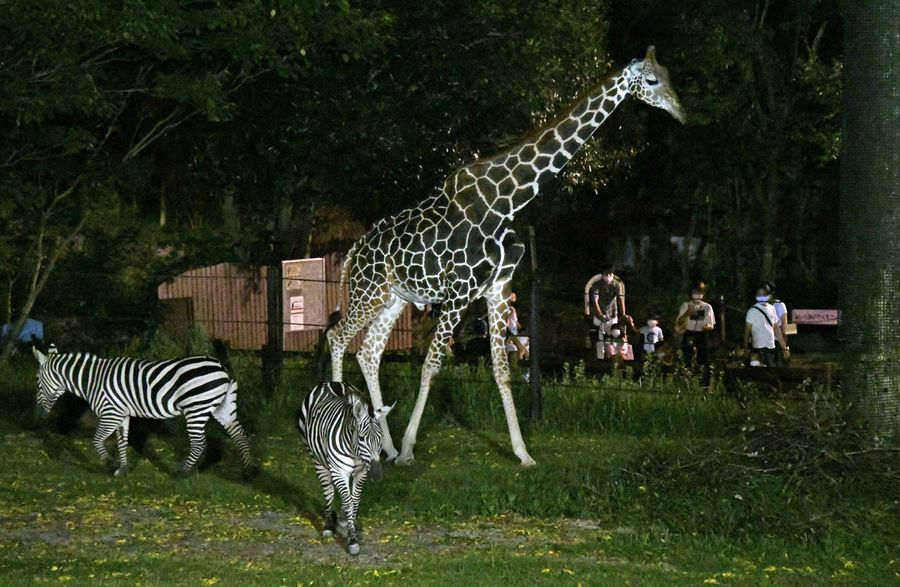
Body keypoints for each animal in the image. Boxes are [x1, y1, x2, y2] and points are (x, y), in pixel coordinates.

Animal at [33, 350, 255, 478]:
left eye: (37, 379)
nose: (38, 412)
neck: (93, 381)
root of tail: (222, 367)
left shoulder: (111, 413)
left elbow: (97, 440)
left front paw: (109, 464)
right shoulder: (122, 414)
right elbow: (122, 442)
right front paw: (122, 469)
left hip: (196, 407)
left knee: (199, 443)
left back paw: (181, 473)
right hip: (223, 408)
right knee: (240, 436)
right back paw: (247, 472)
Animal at [298, 384, 394, 552]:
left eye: (381, 438)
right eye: (361, 438)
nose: (376, 474)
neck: (355, 452)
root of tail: (329, 384)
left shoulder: (361, 472)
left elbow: (354, 500)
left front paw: (351, 526)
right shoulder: (339, 471)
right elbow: (348, 501)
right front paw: (352, 539)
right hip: (317, 460)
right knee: (328, 491)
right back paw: (329, 525)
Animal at [326, 46, 684, 468]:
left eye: (669, 74)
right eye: (651, 80)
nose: (680, 111)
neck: (507, 202)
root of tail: (354, 250)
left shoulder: (496, 287)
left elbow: (501, 368)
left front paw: (523, 453)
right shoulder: (459, 291)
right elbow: (432, 365)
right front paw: (411, 449)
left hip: (396, 298)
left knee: (368, 352)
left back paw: (387, 447)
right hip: (370, 291)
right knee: (336, 336)